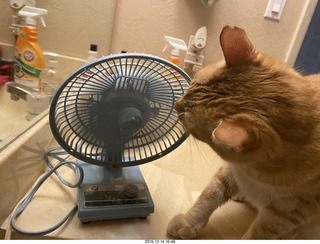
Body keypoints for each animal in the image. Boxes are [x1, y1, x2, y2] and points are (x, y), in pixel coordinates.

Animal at [166, 25, 320, 239]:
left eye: (189, 122)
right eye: (189, 88)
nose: (176, 105)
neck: (255, 173)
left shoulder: (285, 215)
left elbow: (260, 234)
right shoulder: (231, 171)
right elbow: (209, 196)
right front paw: (189, 221)